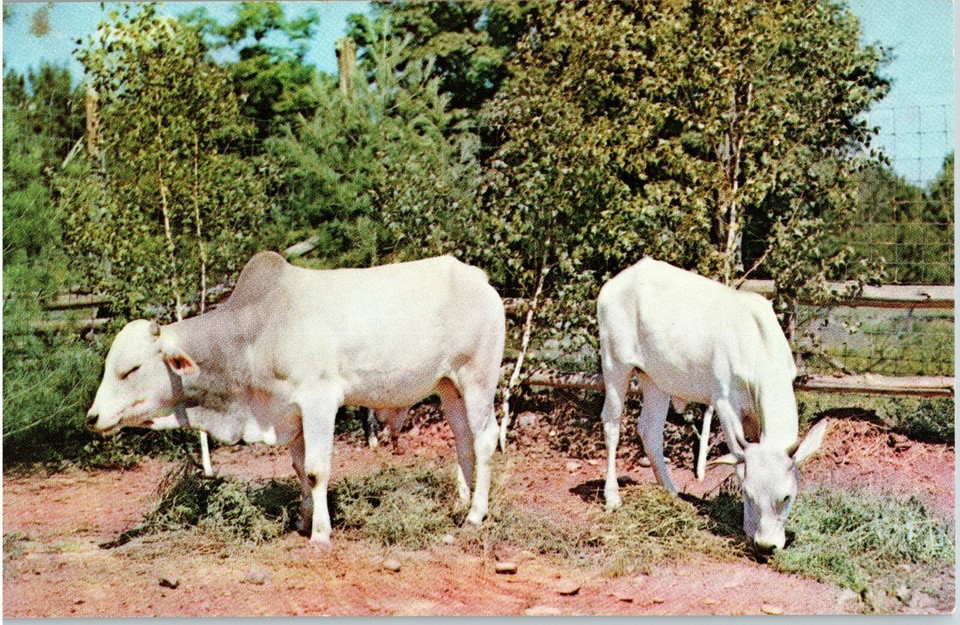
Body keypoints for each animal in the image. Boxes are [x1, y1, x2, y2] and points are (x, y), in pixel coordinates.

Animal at [86, 251, 506, 544]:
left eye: (131, 369)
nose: (92, 417)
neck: (257, 331)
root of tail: (476, 277)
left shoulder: (319, 401)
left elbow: (317, 468)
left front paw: (320, 533)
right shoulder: (290, 414)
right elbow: (300, 467)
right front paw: (303, 520)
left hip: (478, 379)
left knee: (485, 440)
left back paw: (475, 515)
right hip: (449, 386)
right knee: (464, 442)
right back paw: (460, 503)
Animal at [596, 258, 827, 551]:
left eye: (787, 496)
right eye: (748, 494)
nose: (766, 545)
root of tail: (619, 281)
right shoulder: (723, 399)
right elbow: (737, 455)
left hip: (656, 379)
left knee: (649, 431)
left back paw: (672, 492)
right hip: (614, 362)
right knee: (612, 424)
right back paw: (613, 497)